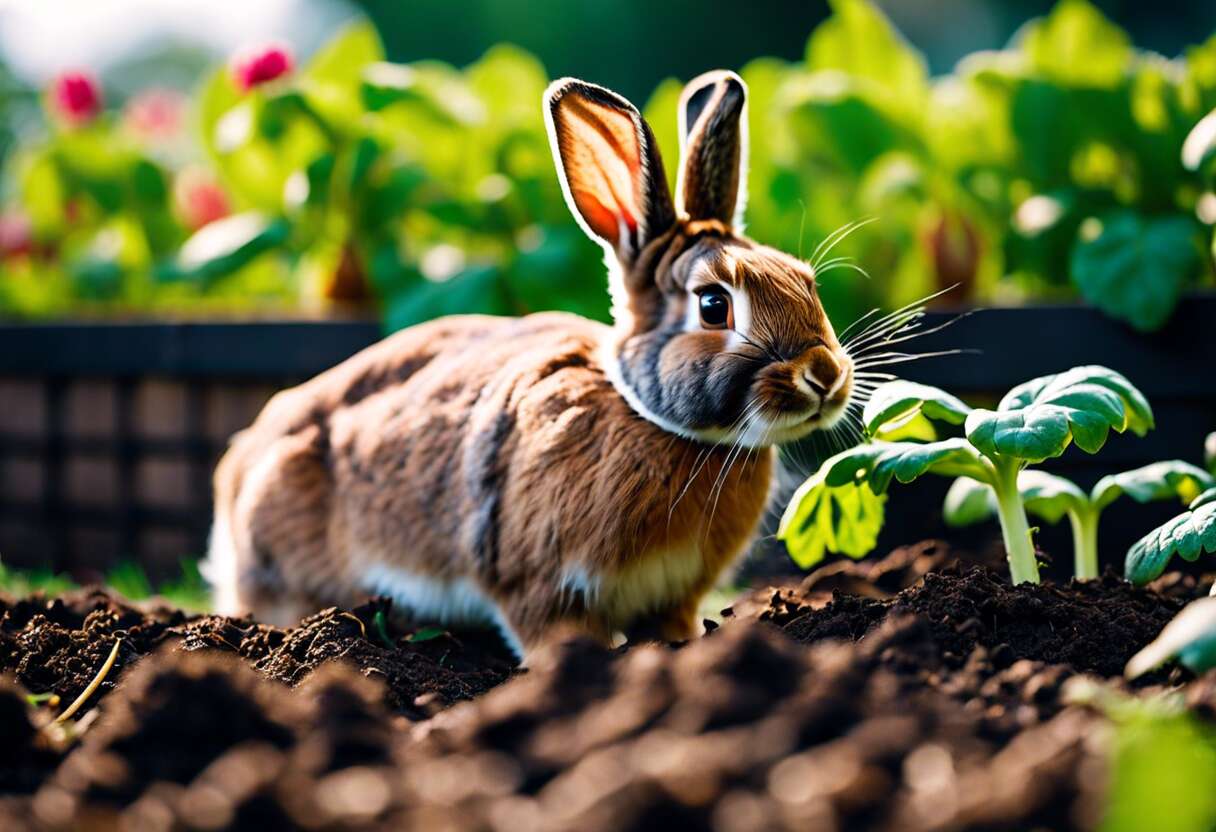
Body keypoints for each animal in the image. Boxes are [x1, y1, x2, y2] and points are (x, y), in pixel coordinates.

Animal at [204, 70, 855, 659]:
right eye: (714, 306)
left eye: (805, 280)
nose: (824, 375)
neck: (659, 423)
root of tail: (236, 474)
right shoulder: (537, 582)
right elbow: (550, 628)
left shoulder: (675, 593)